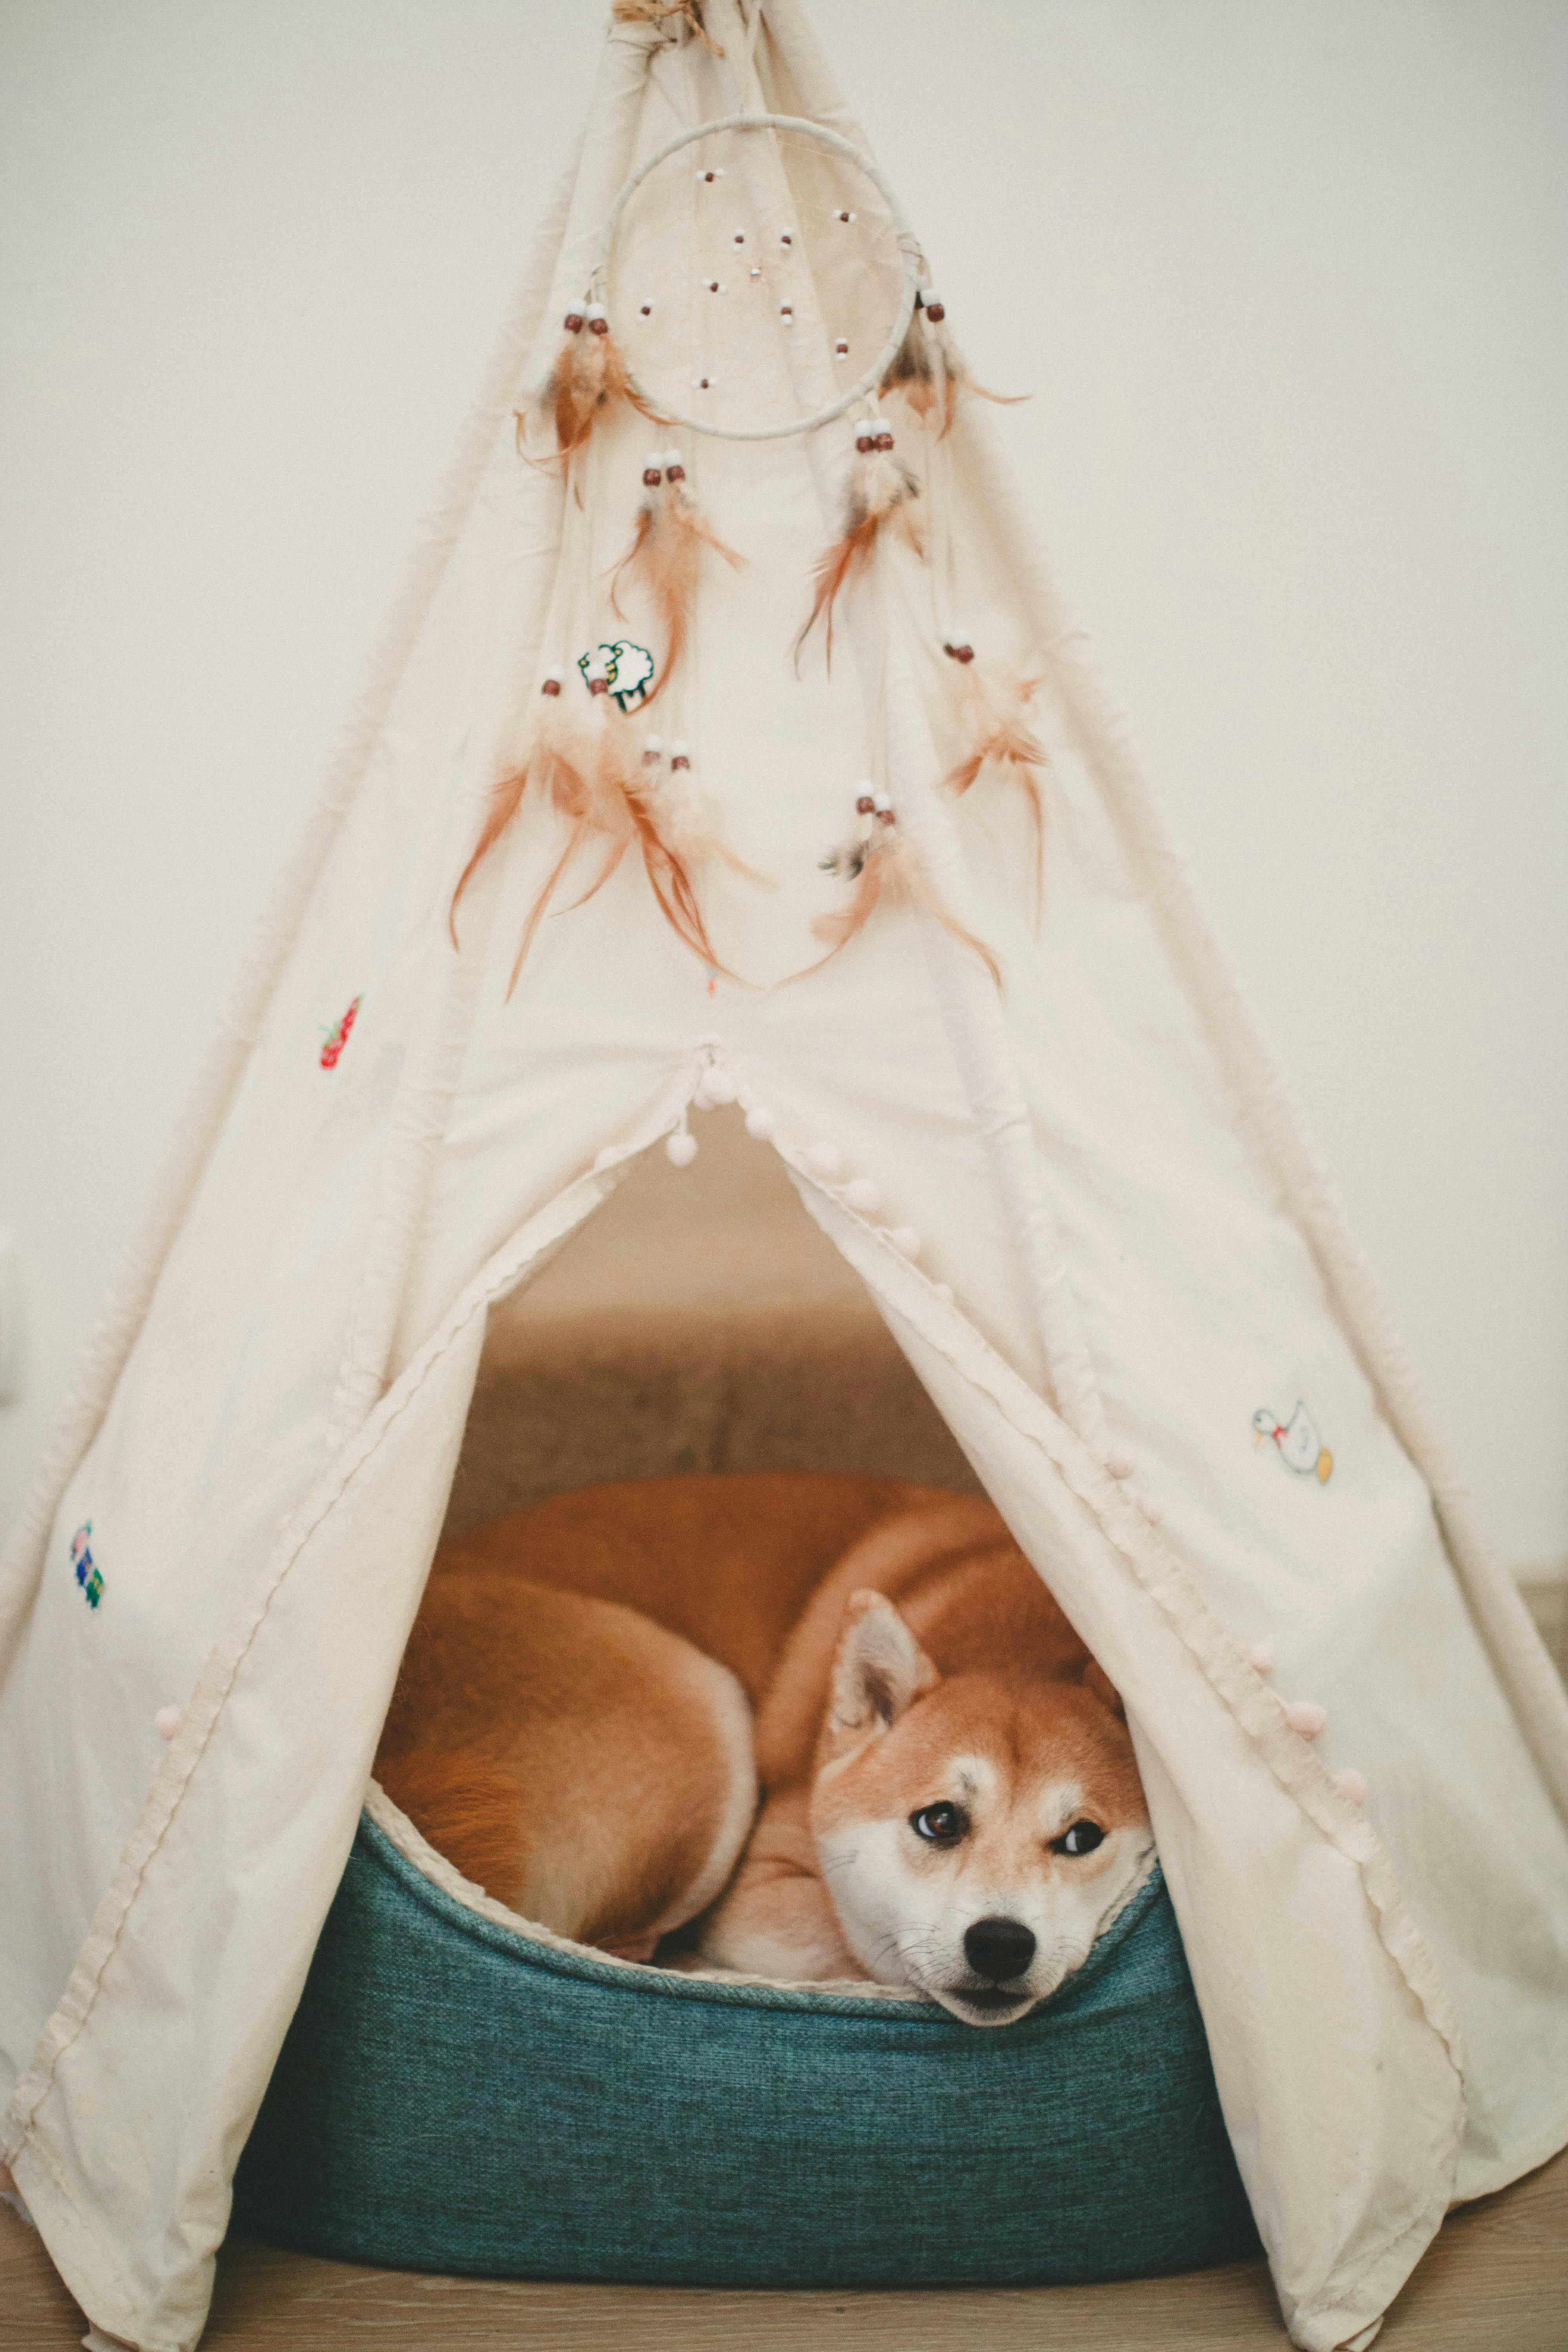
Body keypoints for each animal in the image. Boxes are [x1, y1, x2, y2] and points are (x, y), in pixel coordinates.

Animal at [381, 1477, 1152, 2013]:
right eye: (939, 1821)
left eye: (1082, 1838)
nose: (1001, 1944)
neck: (1024, 1642)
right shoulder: (764, 1879)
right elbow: (857, 1945)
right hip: (699, 1723)